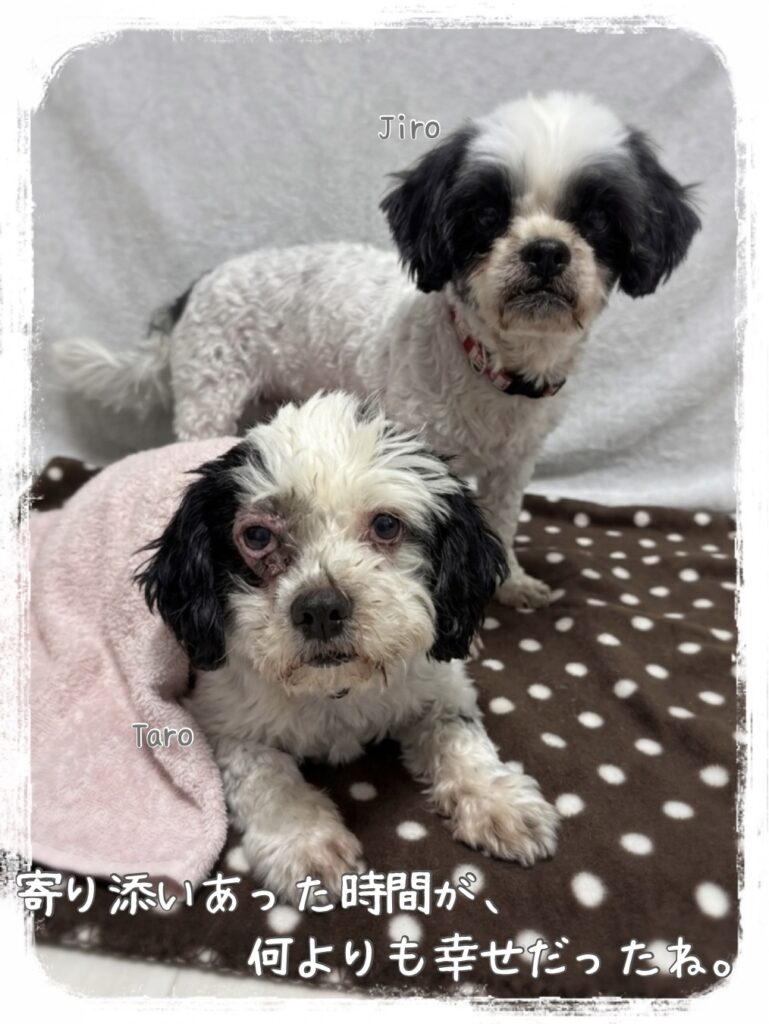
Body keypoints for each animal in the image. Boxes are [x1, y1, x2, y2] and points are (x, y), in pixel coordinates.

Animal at [56, 91, 701, 610]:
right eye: (486, 214)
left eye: (597, 218)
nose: (546, 250)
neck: (489, 366)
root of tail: (199, 284)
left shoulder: (515, 464)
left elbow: (502, 519)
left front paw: (513, 583)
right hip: (209, 396)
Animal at [135, 392, 559, 905]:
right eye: (257, 536)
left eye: (386, 524)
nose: (320, 607)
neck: (334, 690)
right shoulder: (223, 720)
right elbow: (265, 777)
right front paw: (306, 842)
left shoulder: (439, 685)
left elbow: (459, 735)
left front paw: (499, 800)